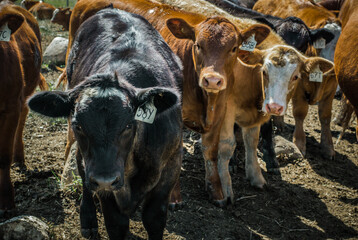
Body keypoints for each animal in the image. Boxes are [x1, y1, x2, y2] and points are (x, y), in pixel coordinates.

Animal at [28, 7, 182, 240]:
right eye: (78, 125)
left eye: (129, 125)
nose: (105, 179)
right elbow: (116, 223)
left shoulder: (170, 166)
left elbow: (154, 218)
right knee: (81, 169)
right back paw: (88, 219)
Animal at [253, 0, 340, 159]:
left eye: (305, 43)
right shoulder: (299, 89)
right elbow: (300, 112)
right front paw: (299, 143)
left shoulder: (331, 88)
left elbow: (325, 116)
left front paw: (328, 147)